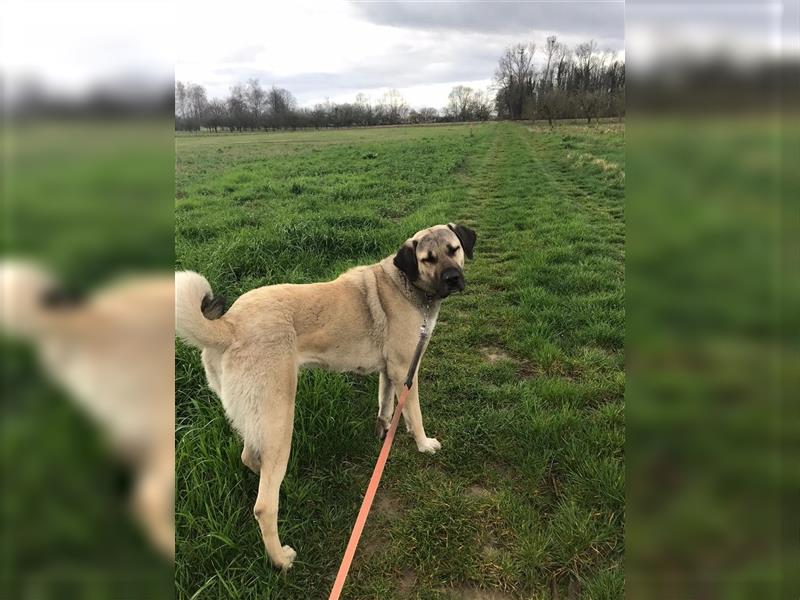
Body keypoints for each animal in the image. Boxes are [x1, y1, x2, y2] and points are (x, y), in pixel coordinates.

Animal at [175, 223, 476, 568]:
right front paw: (424, 444)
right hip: (279, 418)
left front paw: (385, 429)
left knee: (251, 458)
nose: (453, 278)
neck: (406, 284)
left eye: (454, 250)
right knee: (264, 505)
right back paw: (280, 559)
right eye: (428, 259)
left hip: (258, 419)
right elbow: (414, 413)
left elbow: (386, 402)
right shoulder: (404, 370)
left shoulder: (389, 372)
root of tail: (229, 325)